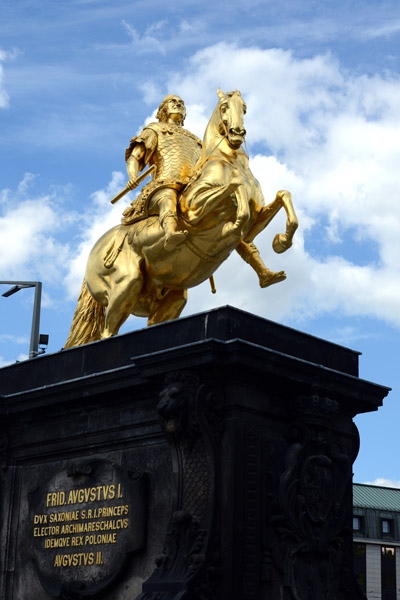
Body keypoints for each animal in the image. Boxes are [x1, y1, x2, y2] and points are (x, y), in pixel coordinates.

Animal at [65, 89, 296, 346]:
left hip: (171, 297)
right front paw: (236, 223)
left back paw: (268, 276)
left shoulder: (256, 221)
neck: (228, 161)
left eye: (244, 108)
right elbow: (234, 189)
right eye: (224, 107)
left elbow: (282, 196)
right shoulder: (194, 209)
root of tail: (94, 251)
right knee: (107, 331)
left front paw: (281, 242)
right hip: (126, 284)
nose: (237, 133)